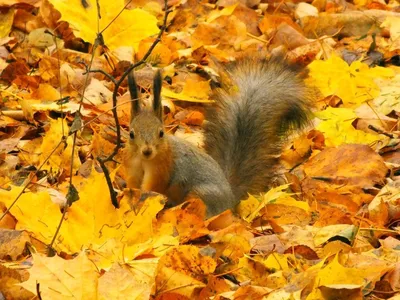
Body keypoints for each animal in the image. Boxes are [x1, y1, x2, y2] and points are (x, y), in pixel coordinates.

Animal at [125, 55, 312, 218]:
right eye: (131, 133)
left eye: (161, 133)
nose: (147, 151)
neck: (144, 161)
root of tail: (230, 200)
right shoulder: (132, 167)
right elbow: (132, 186)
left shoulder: (162, 170)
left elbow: (151, 187)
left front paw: (142, 197)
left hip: (200, 195)